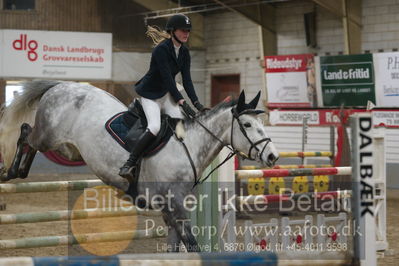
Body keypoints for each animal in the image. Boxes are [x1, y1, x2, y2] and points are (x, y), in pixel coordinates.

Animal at [0, 80, 280, 251]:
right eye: (246, 125)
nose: (272, 157)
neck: (190, 145)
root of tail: (61, 85)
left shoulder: (170, 210)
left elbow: (175, 247)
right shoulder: (175, 206)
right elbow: (192, 245)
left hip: (67, 149)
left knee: (31, 142)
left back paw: (19, 171)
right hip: (49, 136)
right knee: (25, 133)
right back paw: (10, 171)